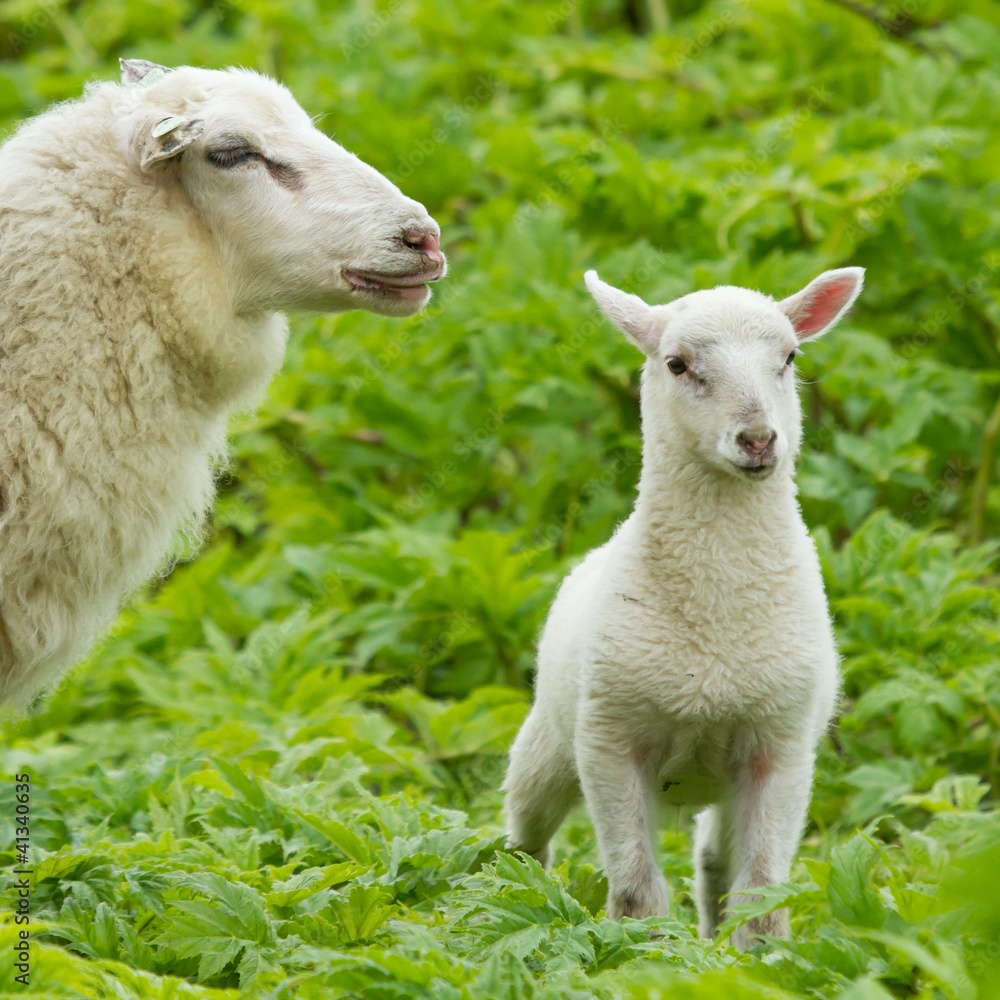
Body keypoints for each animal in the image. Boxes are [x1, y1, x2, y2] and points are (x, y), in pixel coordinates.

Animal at [503, 265, 864, 949]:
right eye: (676, 364)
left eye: (789, 358)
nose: (758, 439)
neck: (715, 617)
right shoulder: (610, 741)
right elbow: (636, 892)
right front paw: (644, 957)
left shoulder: (781, 746)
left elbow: (762, 895)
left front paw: (764, 960)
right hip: (549, 741)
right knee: (525, 836)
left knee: (714, 860)